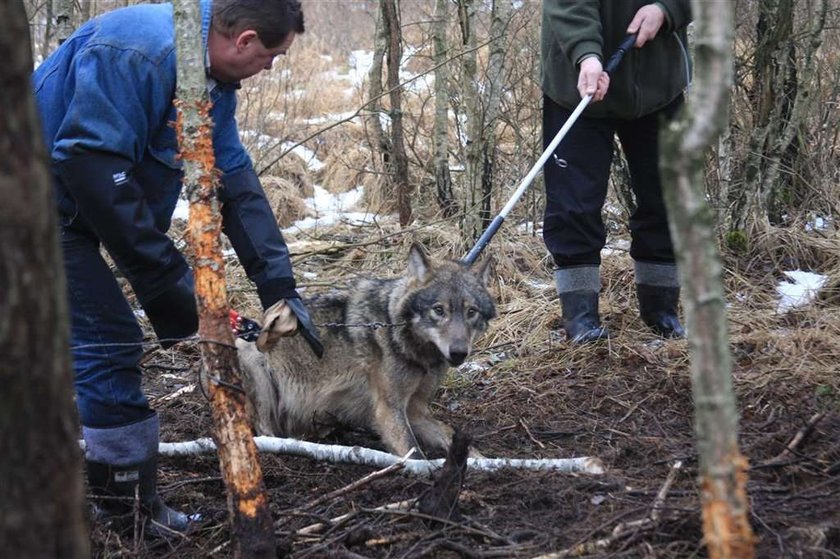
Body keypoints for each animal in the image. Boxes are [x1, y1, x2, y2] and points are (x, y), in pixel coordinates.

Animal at [236, 244, 496, 460]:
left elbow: (451, 435)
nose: (459, 353)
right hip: (254, 361)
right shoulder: (388, 410)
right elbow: (414, 454)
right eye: (439, 310)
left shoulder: (415, 410)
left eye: (471, 312)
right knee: (262, 431)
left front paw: (486, 464)